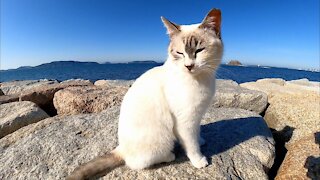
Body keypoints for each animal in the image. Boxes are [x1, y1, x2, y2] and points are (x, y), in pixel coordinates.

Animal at [67, 8, 222, 180]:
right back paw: (169, 156)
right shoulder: (185, 121)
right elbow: (191, 145)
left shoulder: (197, 115)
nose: (189, 66)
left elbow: (197, 133)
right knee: (137, 163)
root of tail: (121, 148)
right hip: (162, 139)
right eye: (179, 53)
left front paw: (201, 140)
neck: (201, 79)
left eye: (199, 50)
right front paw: (199, 160)